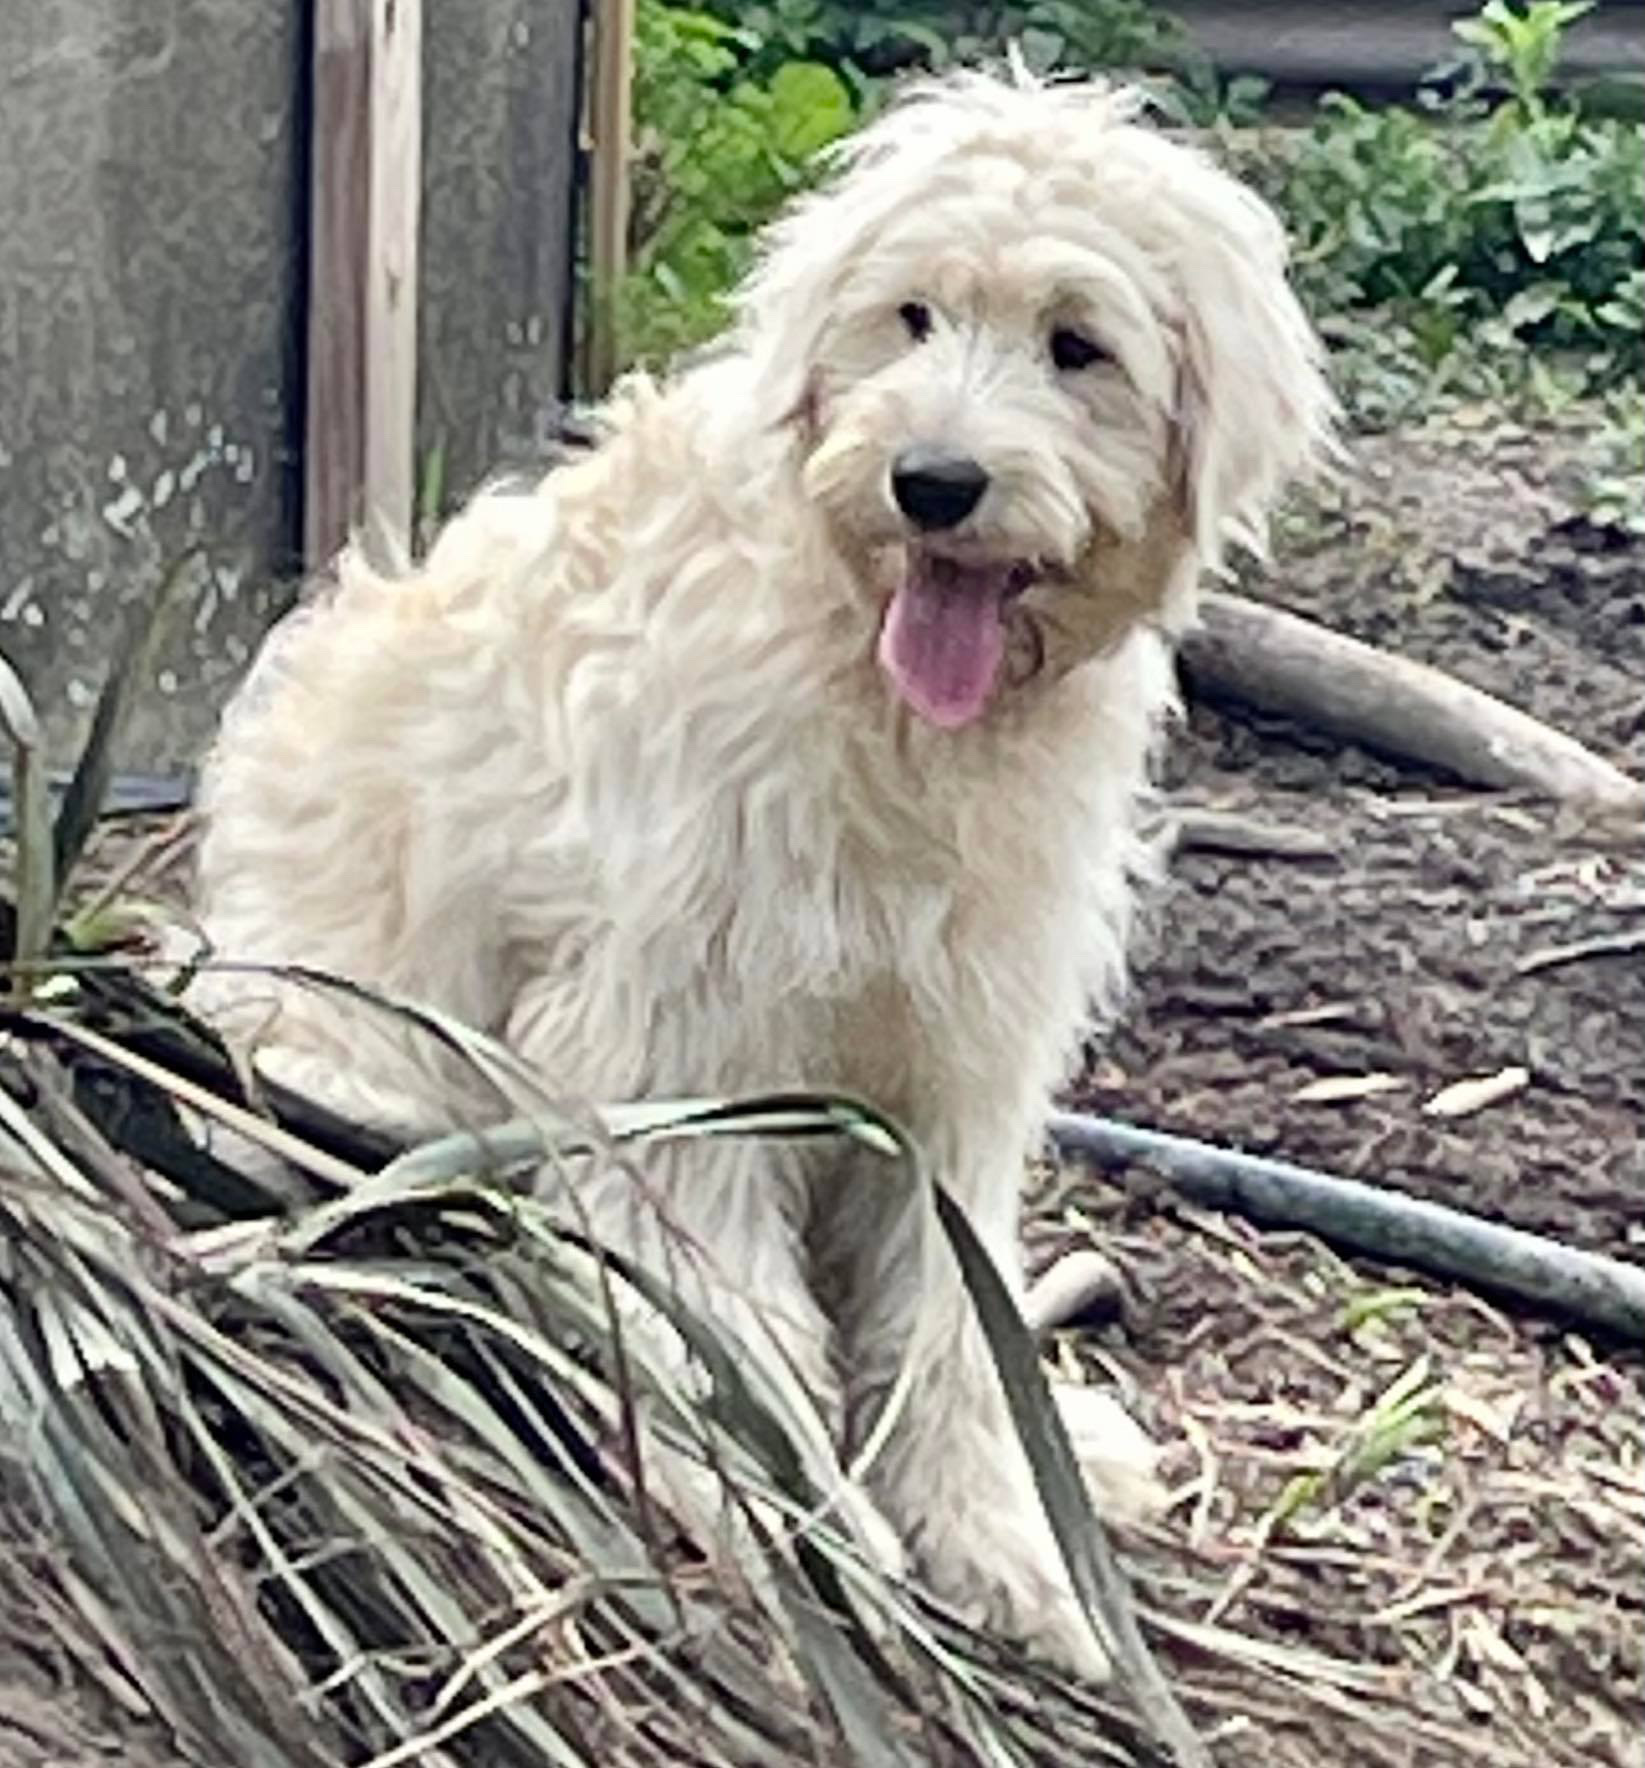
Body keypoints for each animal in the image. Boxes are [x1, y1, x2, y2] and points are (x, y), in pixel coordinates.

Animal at [185, 65, 1330, 1668]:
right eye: (910, 316)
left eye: (1076, 345)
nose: (933, 482)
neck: (882, 694)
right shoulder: (678, 1045)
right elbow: (737, 1314)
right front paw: (797, 1519)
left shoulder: (954, 1069)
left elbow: (950, 1319)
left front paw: (1006, 1538)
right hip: (353, 1064)